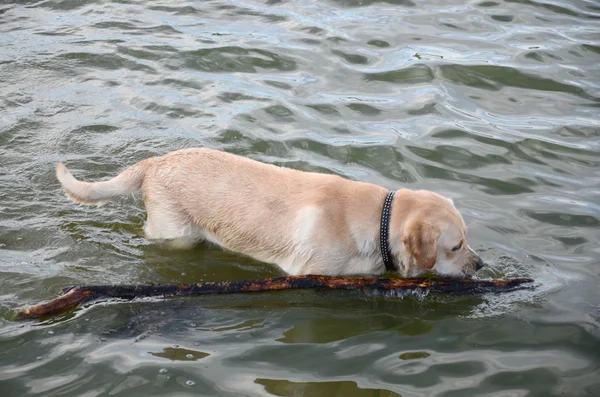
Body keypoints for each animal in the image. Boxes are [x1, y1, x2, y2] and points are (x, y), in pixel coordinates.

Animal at [56, 147, 486, 276]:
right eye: (456, 246)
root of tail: (156, 161)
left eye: (468, 240)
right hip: (176, 235)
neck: (378, 222)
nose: (480, 265)